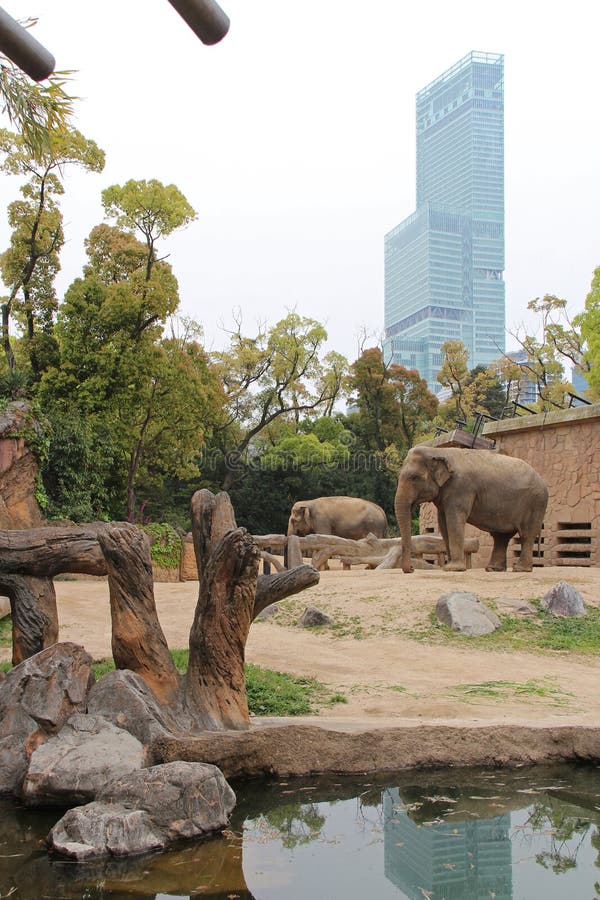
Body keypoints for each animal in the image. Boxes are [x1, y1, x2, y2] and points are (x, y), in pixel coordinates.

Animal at [395, 446, 548, 573]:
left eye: (414, 477)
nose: (412, 569)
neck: (438, 451)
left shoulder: (461, 488)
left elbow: (454, 521)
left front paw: (453, 569)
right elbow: (443, 524)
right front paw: (449, 567)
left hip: (536, 503)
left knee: (526, 534)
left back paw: (520, 569)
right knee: (501, 537)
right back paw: (493, 569)